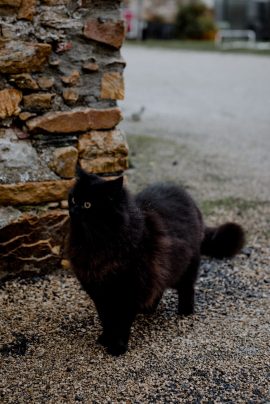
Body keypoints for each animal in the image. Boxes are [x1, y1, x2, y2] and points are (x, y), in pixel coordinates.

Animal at [67, 169, 245, 356]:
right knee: (159, 288)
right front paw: (105, 338)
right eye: (73, 199)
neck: (94, 243)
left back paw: (185, 311)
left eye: (87, 204)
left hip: (187, 265)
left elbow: (121, 323)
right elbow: (106, 320)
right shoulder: (99, 292)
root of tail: (185, 195)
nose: (72, 210)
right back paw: (148, 309)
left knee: (187, 288)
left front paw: (117, 347)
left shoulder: (128, 291)